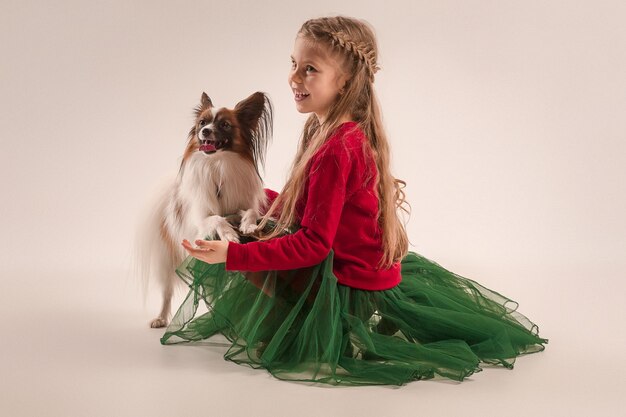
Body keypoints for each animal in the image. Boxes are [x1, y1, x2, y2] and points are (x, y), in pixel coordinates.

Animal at [135, 92, 272, 328]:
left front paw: (248, 225)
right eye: (202, 122)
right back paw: (161, 317)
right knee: (167, 291)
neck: (218, 164)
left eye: (225, 125)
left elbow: (250, 212)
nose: (205, 131)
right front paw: (229, 235)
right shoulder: (200, 219)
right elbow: (217, 218)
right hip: (167, 259)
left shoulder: (241, 204)